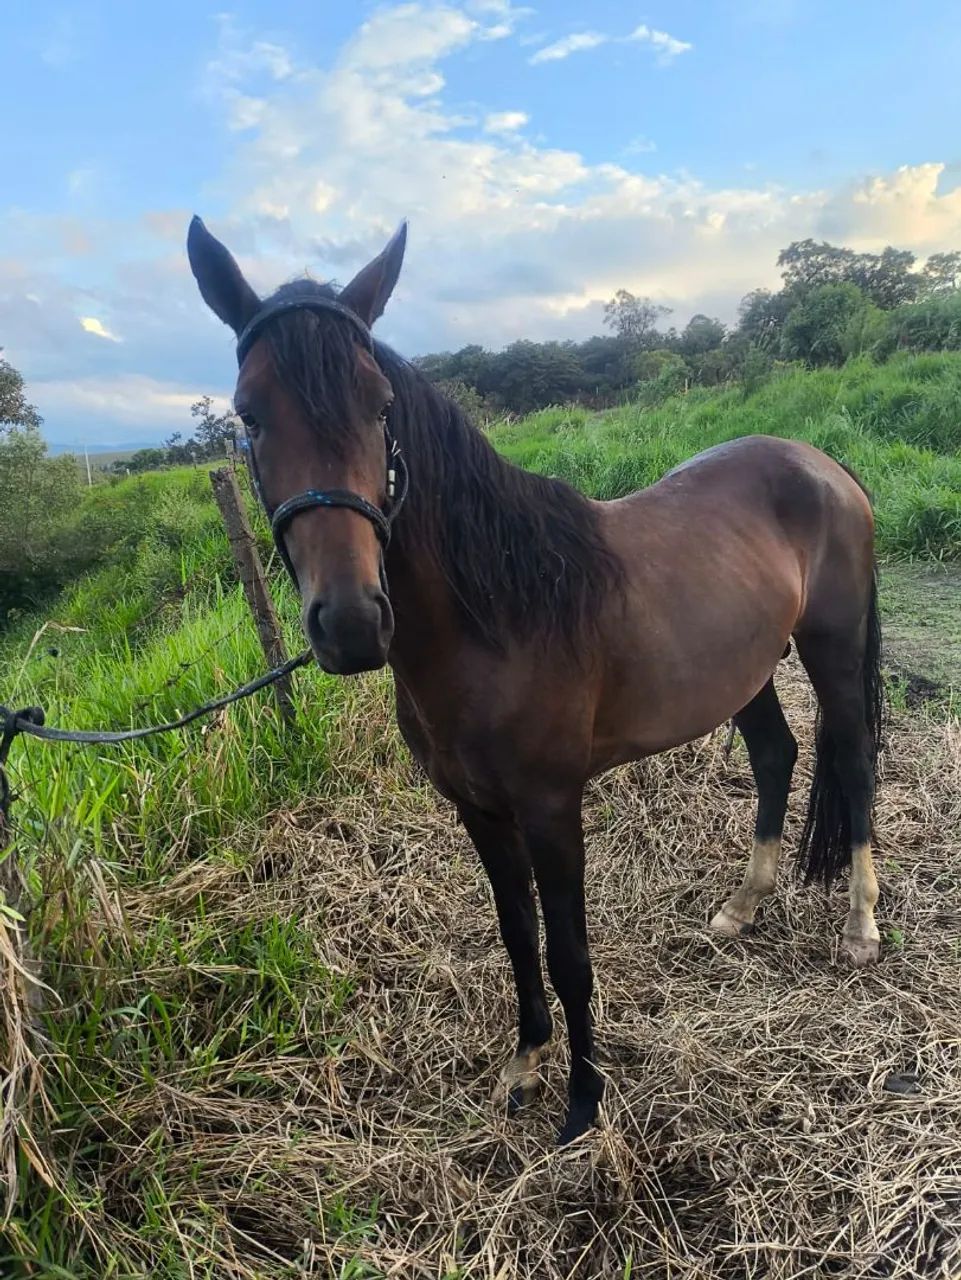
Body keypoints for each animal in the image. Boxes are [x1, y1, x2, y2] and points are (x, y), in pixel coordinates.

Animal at [187, 216, 884, 1146]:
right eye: (249, 414)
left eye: (380, 407)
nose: (352, 622)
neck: (496, 615)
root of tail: (822, 465)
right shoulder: (478, 810)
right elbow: (518, 938)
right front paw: (523, 1067)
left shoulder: (552, 807)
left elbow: (569, 953)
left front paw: (583, 1102)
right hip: (745, 669)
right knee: (776, 755)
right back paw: (742, 906)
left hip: (831, 648)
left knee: (854, 762)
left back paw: (860, 927)